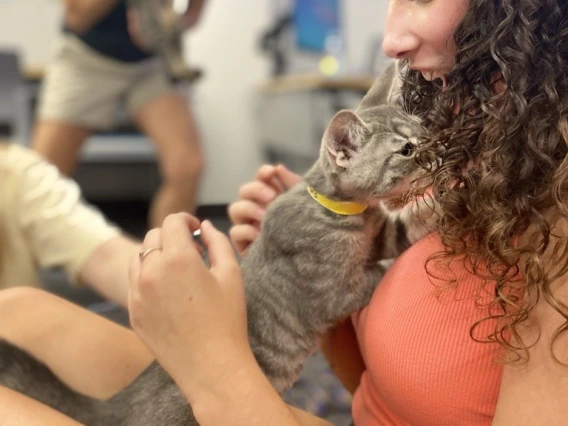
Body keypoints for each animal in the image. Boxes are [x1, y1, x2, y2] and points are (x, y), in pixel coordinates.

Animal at [0, 65, 438, 424]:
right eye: (407, 150)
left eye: (423, 133)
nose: (438, 155)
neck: (347, 212)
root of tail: (116, 404)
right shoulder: (332, 291)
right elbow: (375, 274)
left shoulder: (378, 234)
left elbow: (399, 232)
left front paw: (433, 208)